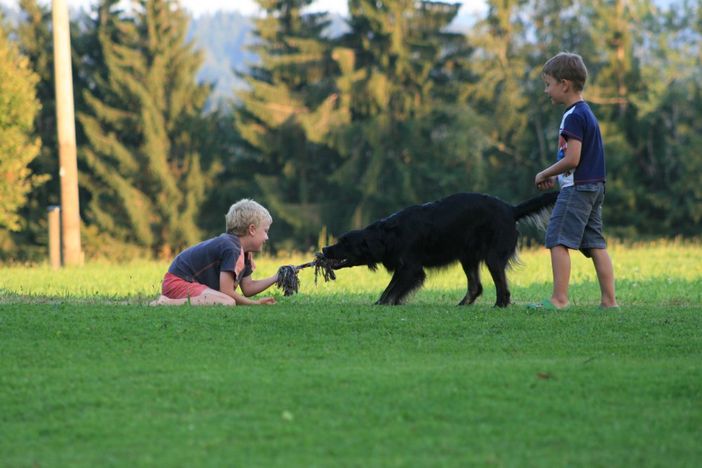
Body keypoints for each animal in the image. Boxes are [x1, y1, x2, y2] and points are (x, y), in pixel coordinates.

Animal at [322, 191, 560, 308]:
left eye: (344, 242)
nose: (324, 249)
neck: (389, 235)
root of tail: (511, 210)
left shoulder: (412, 268)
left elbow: (392, 290)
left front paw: (383, 304)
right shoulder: (404, 268)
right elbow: (390, 288)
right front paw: (381, 302)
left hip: (492, 257)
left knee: (502, 289)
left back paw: (499, 306)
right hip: (468, 256)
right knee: (475, 287)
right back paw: (462, 305)